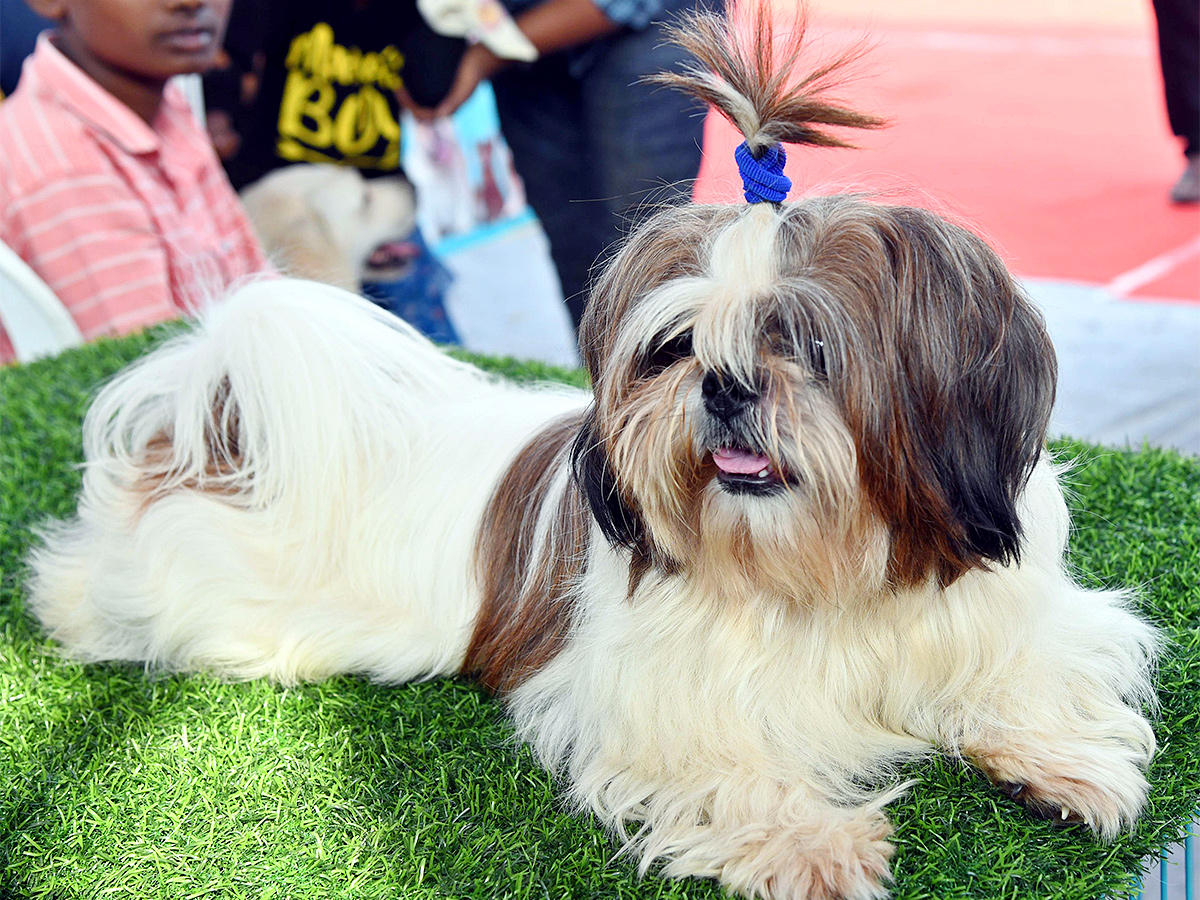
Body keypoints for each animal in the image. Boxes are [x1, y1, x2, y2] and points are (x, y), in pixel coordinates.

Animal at [25, 7, 1152, 900]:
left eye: (806, 344)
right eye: (674, 348)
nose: (725, 386)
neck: (822, 572)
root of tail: (211, 424)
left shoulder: (1002, 609)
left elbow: (1030, 669)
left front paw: (1058, 761)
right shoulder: (639, 696)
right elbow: (728, 762)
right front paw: (813, 843)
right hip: (185, 584)